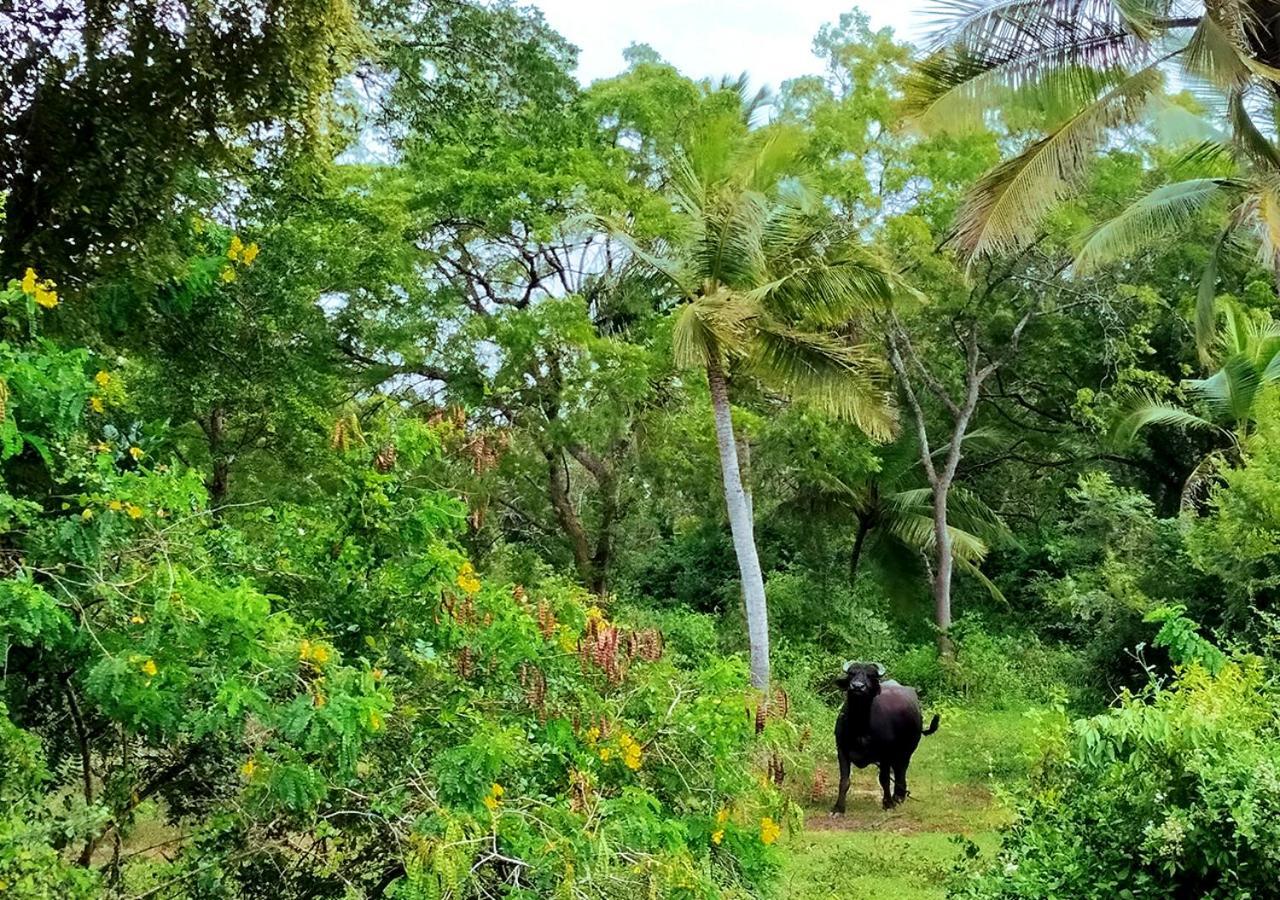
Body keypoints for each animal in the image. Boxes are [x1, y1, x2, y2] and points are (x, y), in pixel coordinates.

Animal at [829, 660, 942, 819]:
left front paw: (888, 804)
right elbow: (844, 780)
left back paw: (899, 796)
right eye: (851, 673)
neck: (860, 727)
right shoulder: (842, 750)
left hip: (907, 750)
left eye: (871, 675)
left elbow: (884, 780)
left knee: (901, 770)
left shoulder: (885, 755)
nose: (857, 686)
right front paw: (838, 808)